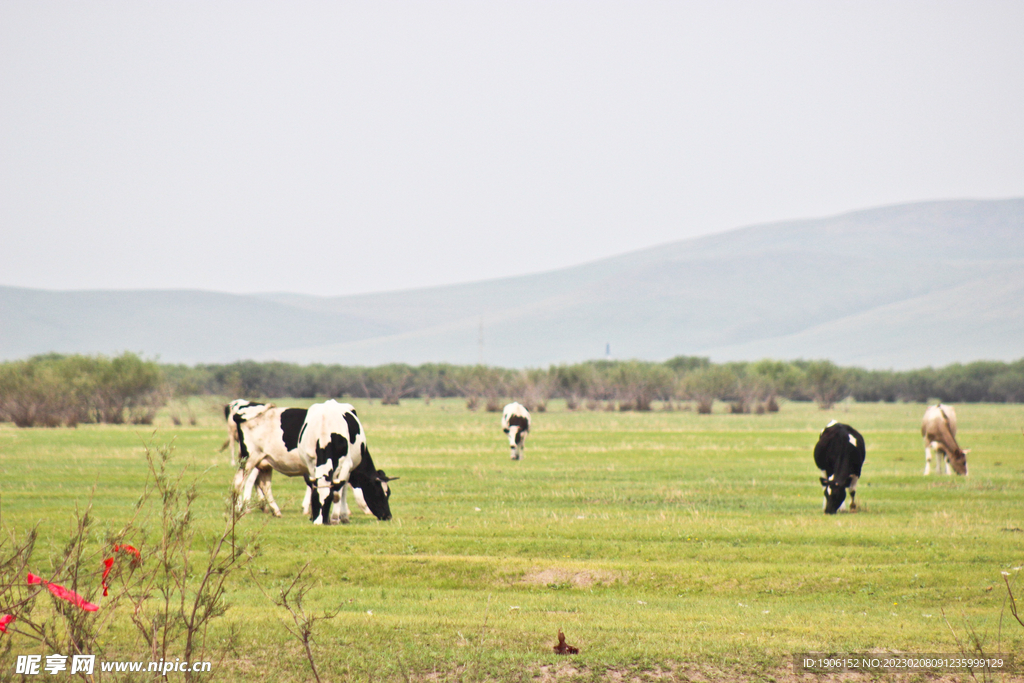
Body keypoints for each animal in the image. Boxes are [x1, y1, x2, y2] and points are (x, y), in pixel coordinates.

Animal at [299, 397, 397, 528]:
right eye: (380, 493)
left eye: (387, 493)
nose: (388, 516)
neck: (325, 435)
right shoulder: (310, 464)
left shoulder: (346, 465)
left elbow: (337, 494)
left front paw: (334, 519)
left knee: (343, 488)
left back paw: (344, 516)